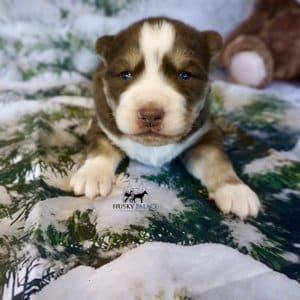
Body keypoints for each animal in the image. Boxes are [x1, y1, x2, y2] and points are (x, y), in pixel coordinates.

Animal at [70, 17, 260, 219]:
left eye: (185, 75)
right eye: (125, 74)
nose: (150, 115)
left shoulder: (204, 132)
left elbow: (216, 158)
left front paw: (235, 190)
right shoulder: (104, 122)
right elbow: (101, 146)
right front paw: (92, 175)